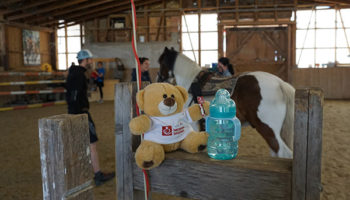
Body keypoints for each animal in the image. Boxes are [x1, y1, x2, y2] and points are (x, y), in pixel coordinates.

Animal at [157, 47, 294, 158]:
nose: (158, 79)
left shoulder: (194, 125)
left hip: (267, 128)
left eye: (161, 62)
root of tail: (279, 83)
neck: (190, 83)